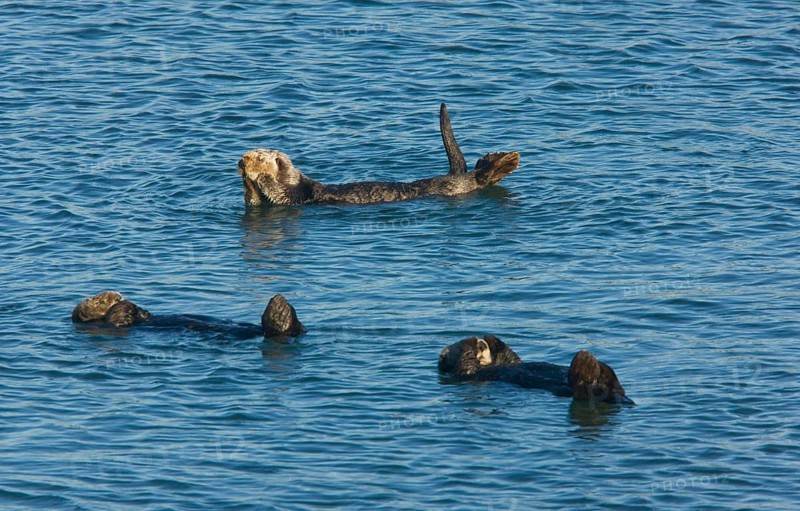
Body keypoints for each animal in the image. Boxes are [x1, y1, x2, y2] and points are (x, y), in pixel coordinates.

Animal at [238, 103, 521, 206]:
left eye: (260, 157)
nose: (242, 160)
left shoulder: (296, 194)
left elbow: (280, 194)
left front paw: (262, 177)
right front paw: (246, 182)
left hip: (457, 187)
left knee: (481, 176)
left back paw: (505, 160)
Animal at [438, 336, 634, 405]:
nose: (481, 345)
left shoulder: (508, 360)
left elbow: (512, 357)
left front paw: (492, 340)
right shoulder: (466, 374)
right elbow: (465, 362)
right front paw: (468, 343)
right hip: (583, 392)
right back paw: (585, 361)